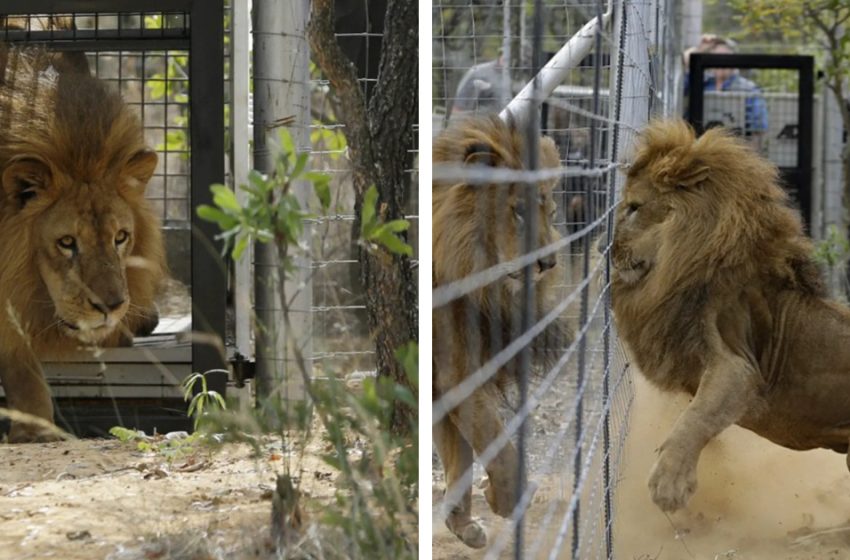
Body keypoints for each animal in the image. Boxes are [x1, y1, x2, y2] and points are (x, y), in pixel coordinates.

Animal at [430, 116, 568, 548]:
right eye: (519, 211)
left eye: (551, 210)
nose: (548, 264)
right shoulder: (454, 370)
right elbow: (494, 439)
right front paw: (505, 499)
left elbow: (460, 450)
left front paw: (461, 522)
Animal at [612, 120, 848, 516]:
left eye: (634, 207)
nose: (609, 251)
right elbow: (697, 414)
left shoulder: (737, 365)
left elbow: (697, 416)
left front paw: (669, 483)